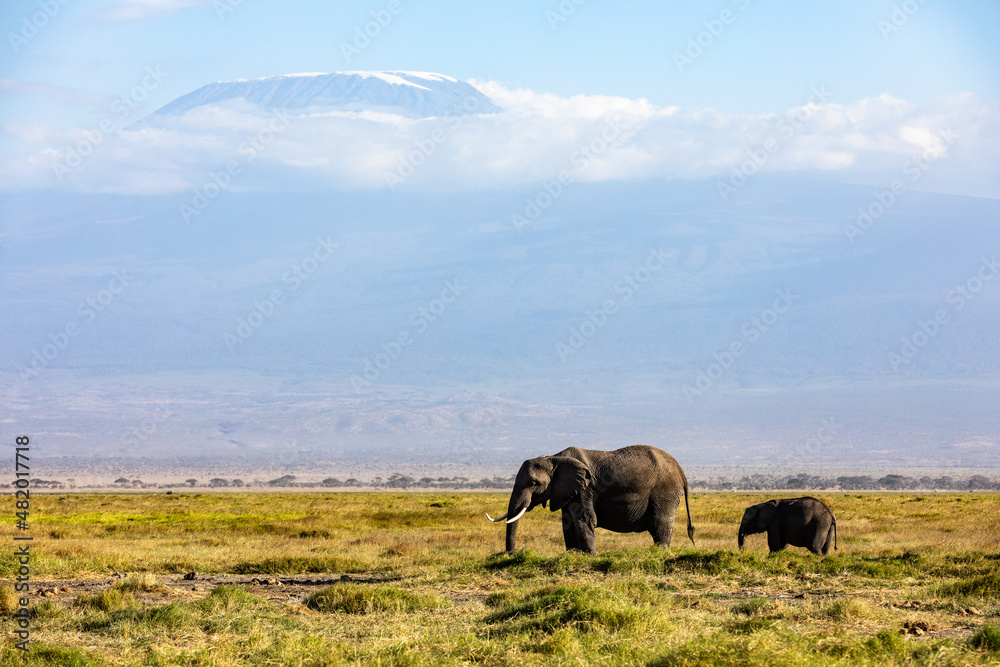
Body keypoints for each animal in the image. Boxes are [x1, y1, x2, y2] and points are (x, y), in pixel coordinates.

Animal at [486, 445, 695, 555]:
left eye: (534, 483)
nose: (511, 554)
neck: (554, 458)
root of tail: (681, 471)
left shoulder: (586, 489)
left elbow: (584, 520)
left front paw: (591, 556)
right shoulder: (568, 491)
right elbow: (567, 523)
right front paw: (572, 554)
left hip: (664, 492)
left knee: (660, 525)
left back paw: (660, 554)